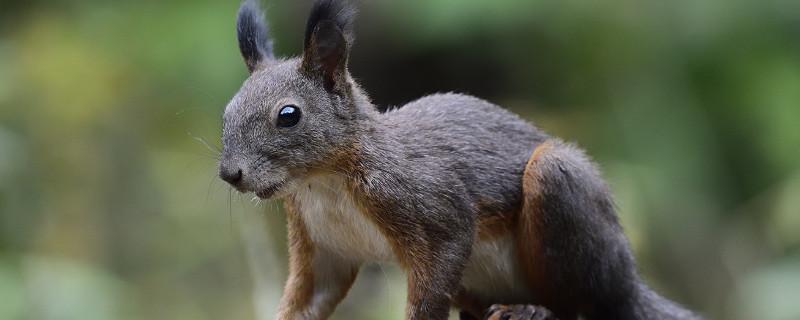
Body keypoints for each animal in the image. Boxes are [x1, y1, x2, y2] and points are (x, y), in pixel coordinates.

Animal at [217, 0, 700, 320]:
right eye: (227, 111)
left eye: (289, 115)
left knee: (585, 304)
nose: (229, 174)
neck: (325, 181)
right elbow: (310, 296)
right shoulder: (321, 245)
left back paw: (532, 309)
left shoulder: (429, 207)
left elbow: (439, 267)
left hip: (565, 200)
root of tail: (630, 283)